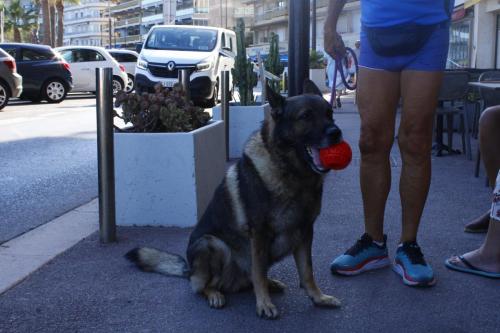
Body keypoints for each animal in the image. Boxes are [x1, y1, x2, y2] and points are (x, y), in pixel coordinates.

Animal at [125, 79, 344, 318]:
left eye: (329, 114)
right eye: (306, 116)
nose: (336, 133)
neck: (292, 174)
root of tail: (189, 269)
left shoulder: (305, 232)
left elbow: (307, 272)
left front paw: (318, 298)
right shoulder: (259, 234)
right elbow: (258, 273)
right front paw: (264, 304)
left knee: (248, 279)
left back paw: (270, 283)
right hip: (212, 244)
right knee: (205, 285)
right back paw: (215, 294)